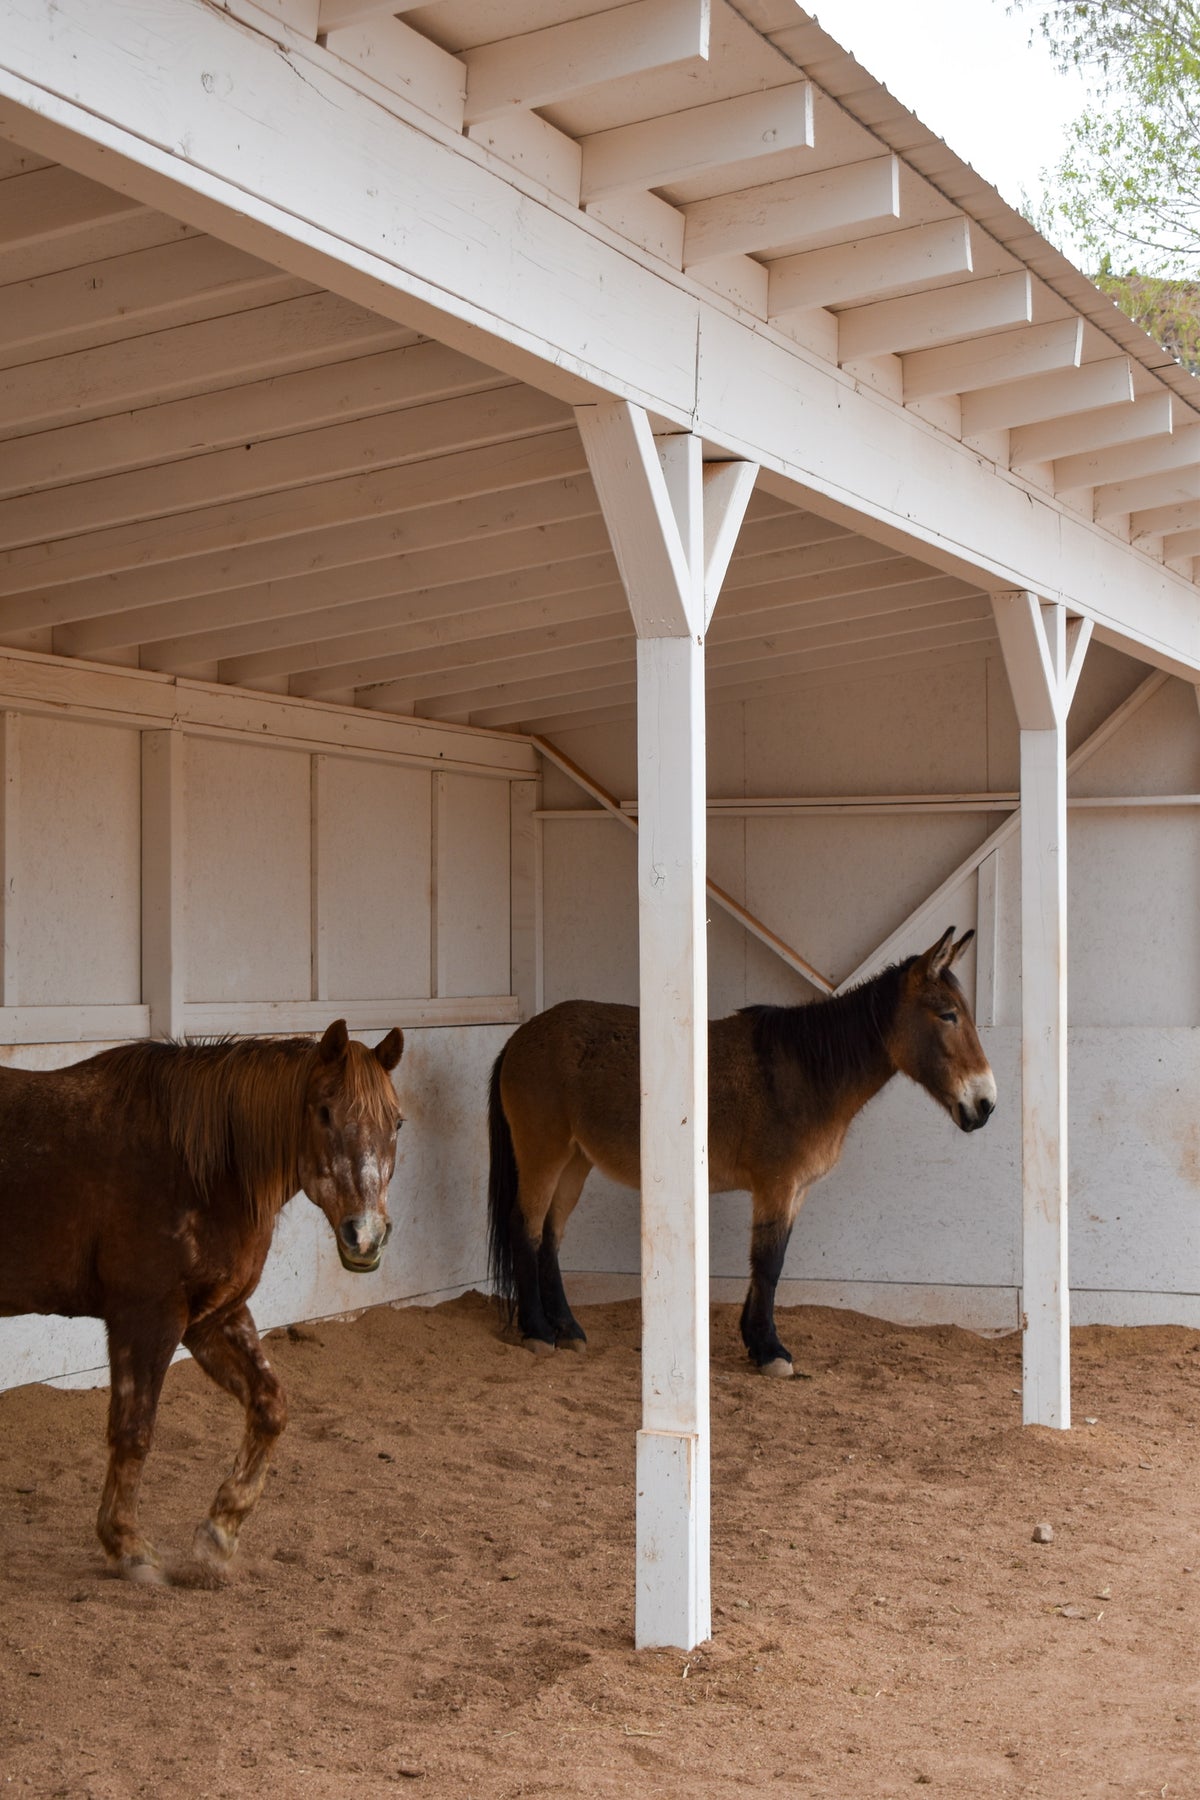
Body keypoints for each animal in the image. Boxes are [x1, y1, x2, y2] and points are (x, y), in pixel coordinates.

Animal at [0, 1018, 403, 1582]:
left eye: (397, 1123)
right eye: (324, 1112)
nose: (365, 1236)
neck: (203, 1169)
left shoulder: (215, 1318)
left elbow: (270, 1406)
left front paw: (219, 1531)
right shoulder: (147, 1318)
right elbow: (134, 1430)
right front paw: (128, 1546)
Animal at [487, 928, 995, 1377]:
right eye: (948, 1015)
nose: (985, 1104)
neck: (804, 1074)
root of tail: (520, 1037)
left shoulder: (795, 1192)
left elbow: (771, 1260)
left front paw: (756, 1341)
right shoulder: (776, 1186)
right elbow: (768, 1264)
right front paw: (770, 1351)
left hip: (575, 1161)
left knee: (550, 1235)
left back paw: (568, 1328)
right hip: (544, 1154)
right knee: (526, 1228)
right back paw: (538, 1331)